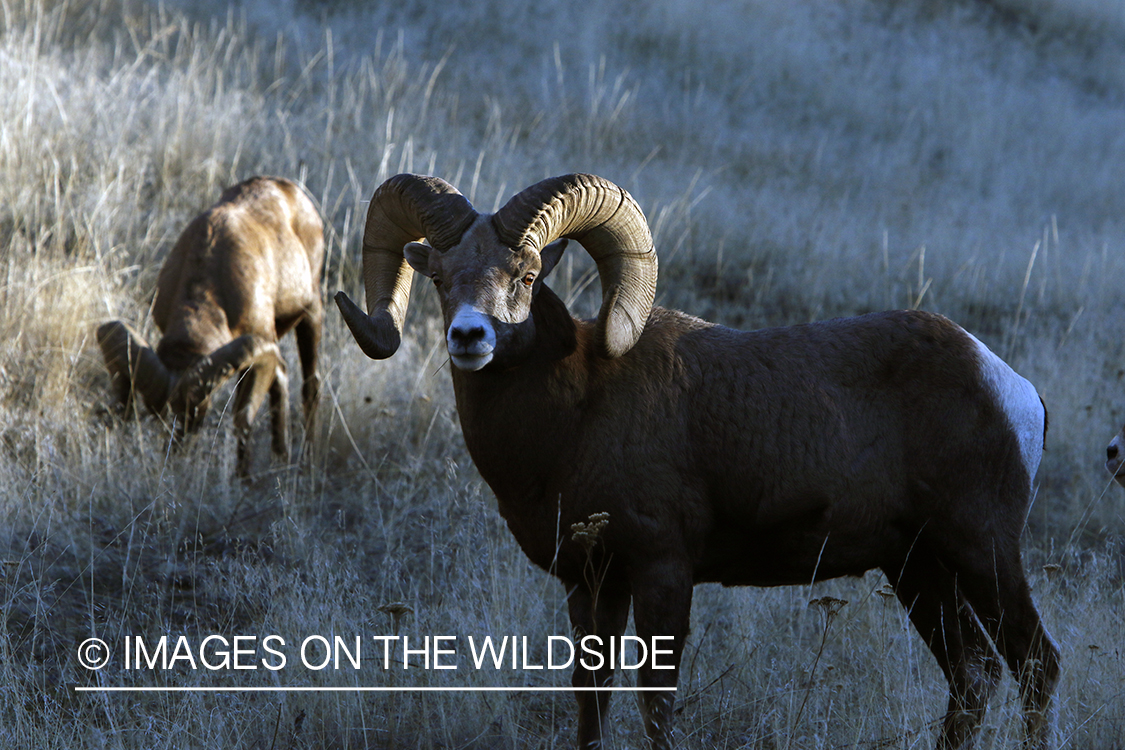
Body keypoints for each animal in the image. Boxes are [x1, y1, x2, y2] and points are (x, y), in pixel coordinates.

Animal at [99, 177, 324, 474]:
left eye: (199, 410)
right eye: (155, 413)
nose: (176, 454)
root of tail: (289, 189)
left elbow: (242, 417)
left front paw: (243, 479)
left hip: (311, 312)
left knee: (310, 385)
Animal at [337, 173, 1057, 750]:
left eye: (524, 276)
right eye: (439, 279)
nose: (469, 337)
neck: (576, 413)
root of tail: (1011, 386)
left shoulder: (662, 572)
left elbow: (656, 704)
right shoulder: (593, 584)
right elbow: (591, 699)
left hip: (981, 552)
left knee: (1035, 665)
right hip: (920, 570)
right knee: (973, 676)